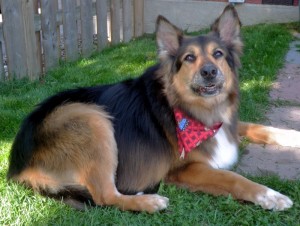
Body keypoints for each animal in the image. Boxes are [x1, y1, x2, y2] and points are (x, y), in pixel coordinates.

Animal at [7, 5, 300, 214]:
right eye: (189, 58)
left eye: (218, 53)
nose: (209, 72)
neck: (190, 108)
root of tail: (17, 164)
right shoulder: (183, 169)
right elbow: (234, 178)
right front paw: (271, 196)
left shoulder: (226, 123)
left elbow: (252, 125)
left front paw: (292, 135)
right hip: (88, 116)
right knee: (105, 196)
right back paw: (148, 201)